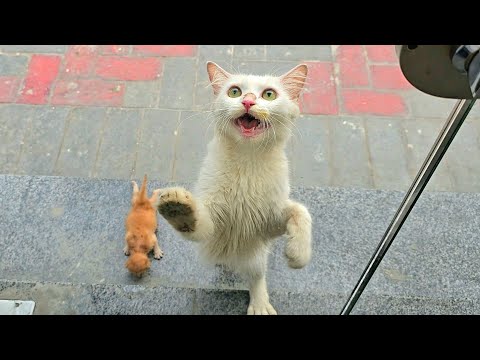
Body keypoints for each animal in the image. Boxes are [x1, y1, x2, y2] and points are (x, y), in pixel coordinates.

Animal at [158, 62, 312, 316]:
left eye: (269, 95)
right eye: (234, 92)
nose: (248, 101)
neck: (246, 160)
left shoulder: (266, 223)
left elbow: (300, 212)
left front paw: (298, 254)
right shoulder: (213, 226)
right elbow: (196, 221)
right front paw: (178, 209)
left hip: (257, 255)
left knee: (256, 276)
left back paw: (260, 304)